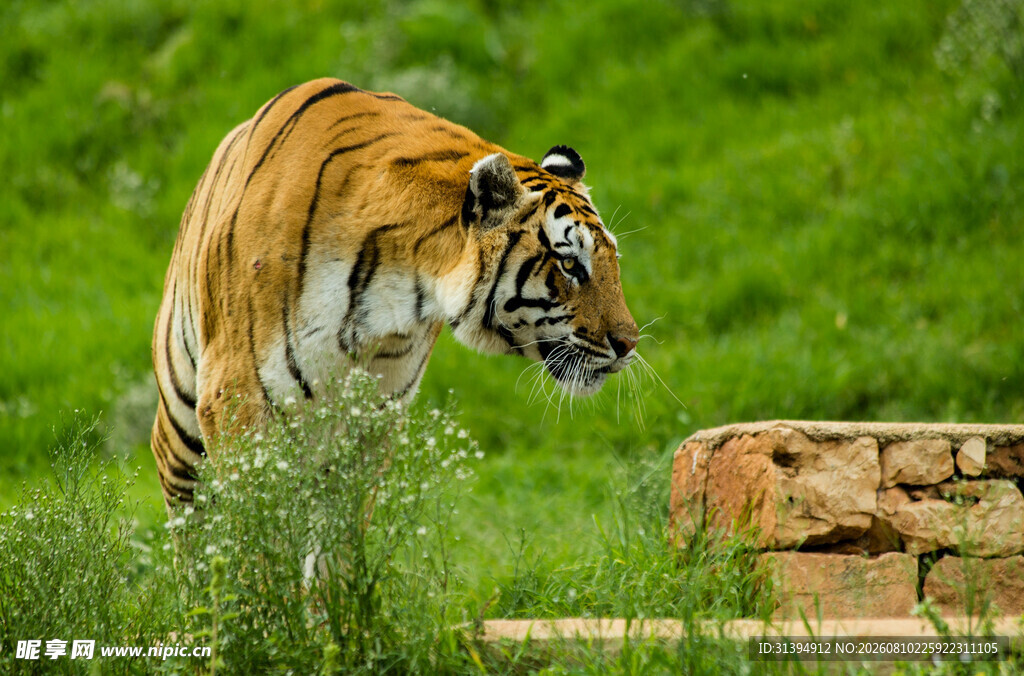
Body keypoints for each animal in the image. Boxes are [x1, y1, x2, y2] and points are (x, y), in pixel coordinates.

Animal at [151, 77, 639, 509]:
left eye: (612, 259)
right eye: (570, 264)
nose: (630, 344)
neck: (396, 297)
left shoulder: (371, 421)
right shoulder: (239, 402)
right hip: (183, 432)